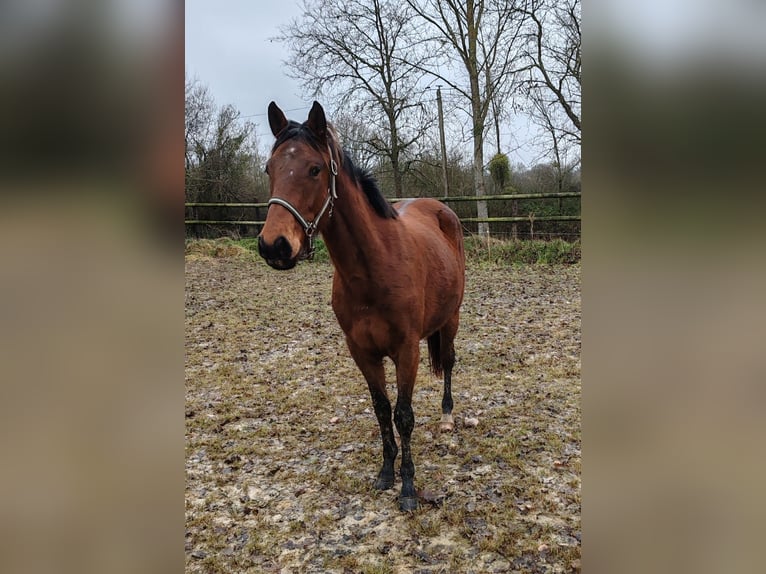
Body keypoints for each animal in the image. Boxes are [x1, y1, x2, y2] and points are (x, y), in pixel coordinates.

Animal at [258, 102, 464, 512]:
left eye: (314, 169)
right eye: (270, 168)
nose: (274, 245)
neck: (374, 267)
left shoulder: (406, 350)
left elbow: (404, 415)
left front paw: (408, 489)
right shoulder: (361, 351)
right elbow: (382, 409)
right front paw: (386, 473)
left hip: (452, 318)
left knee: (448, 361)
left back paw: (448, 416)